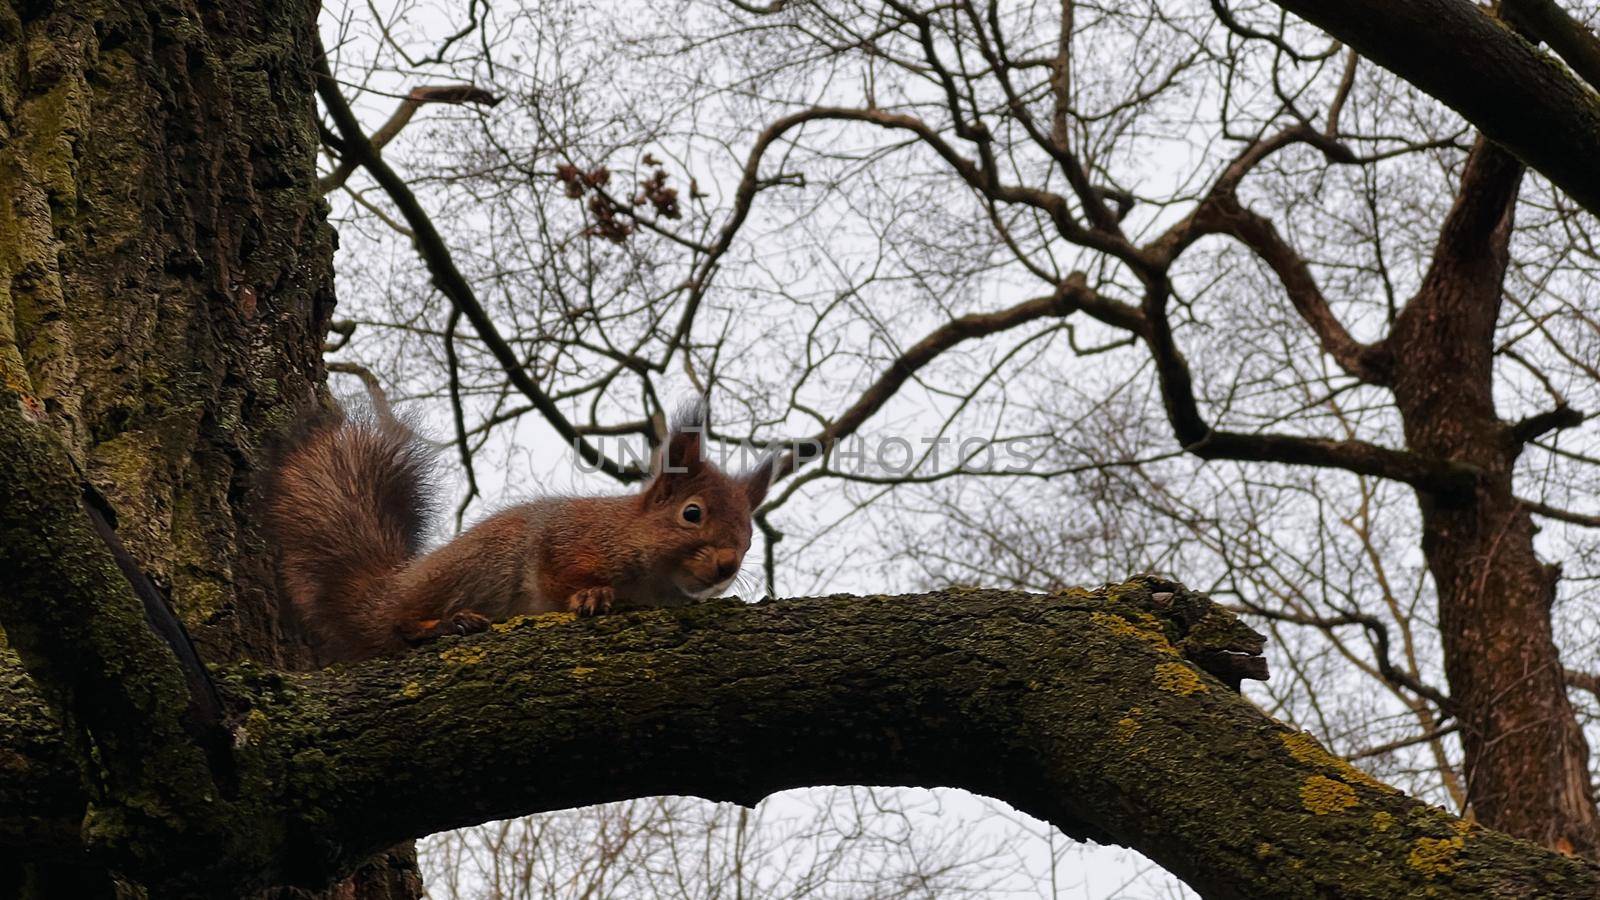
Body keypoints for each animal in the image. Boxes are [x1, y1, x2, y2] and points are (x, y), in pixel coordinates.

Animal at [267, 397, 774, 659]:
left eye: (750, 540)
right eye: (692, 513)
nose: (727, 566)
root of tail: (390, 587)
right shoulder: (567, 538)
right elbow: (557, 573)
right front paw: (591, 595)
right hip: (478, 566)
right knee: (398, 623)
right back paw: (443, 623)